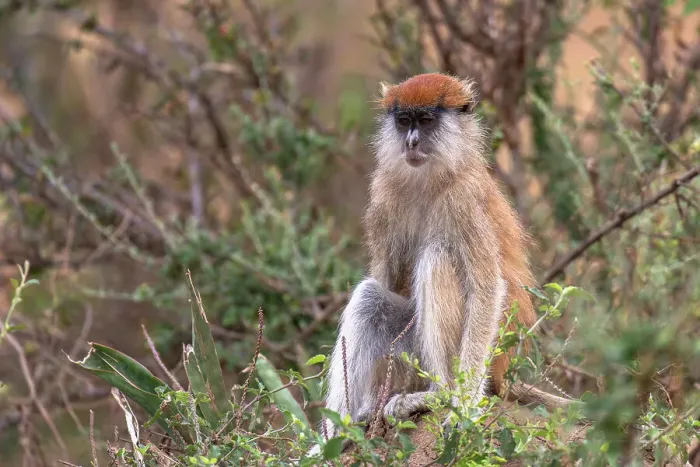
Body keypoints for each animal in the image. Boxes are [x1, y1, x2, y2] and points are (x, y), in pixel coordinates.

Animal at [320, 73, 537, 439]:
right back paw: (340, 431)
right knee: (370, 298)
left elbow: (487, 289)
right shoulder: (383, 195)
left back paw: (439, 395)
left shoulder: (464, 200)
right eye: (404, 120)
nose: (411, 142)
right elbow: (384, 279)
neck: (431, 177)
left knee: (436, 260)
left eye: (425, 120)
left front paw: (464, 403)